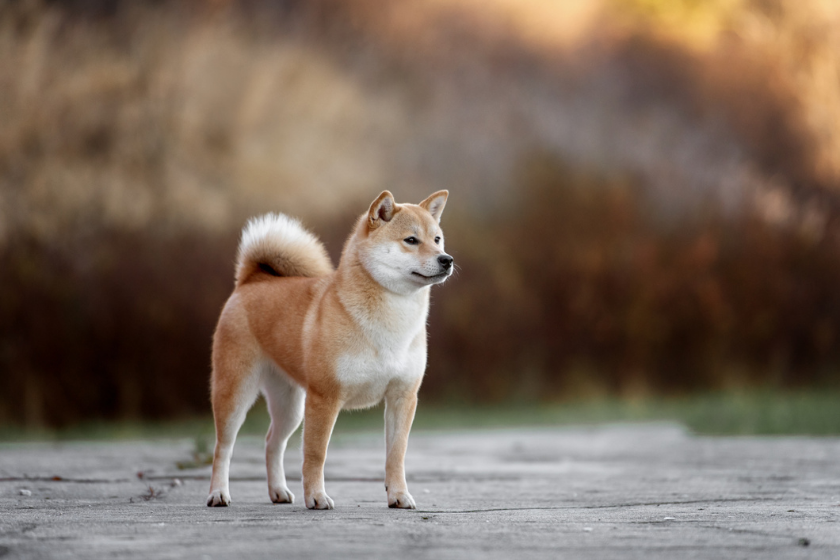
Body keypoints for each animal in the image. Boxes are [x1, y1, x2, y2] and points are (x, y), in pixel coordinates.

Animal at [205, 190, 452, 510]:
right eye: (411, 240)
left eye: (437, 239)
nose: (447, 260)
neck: (393, 319)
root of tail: (252, 280)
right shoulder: (325, 397)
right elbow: (316, 454)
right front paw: (317, 497)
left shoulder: (403, 397)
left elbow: (396, 454)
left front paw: (398, 495)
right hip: (236, 393)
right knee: (223, 447)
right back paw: (218, 493)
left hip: (289, 406)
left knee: (272, 442)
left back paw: (278, 491)